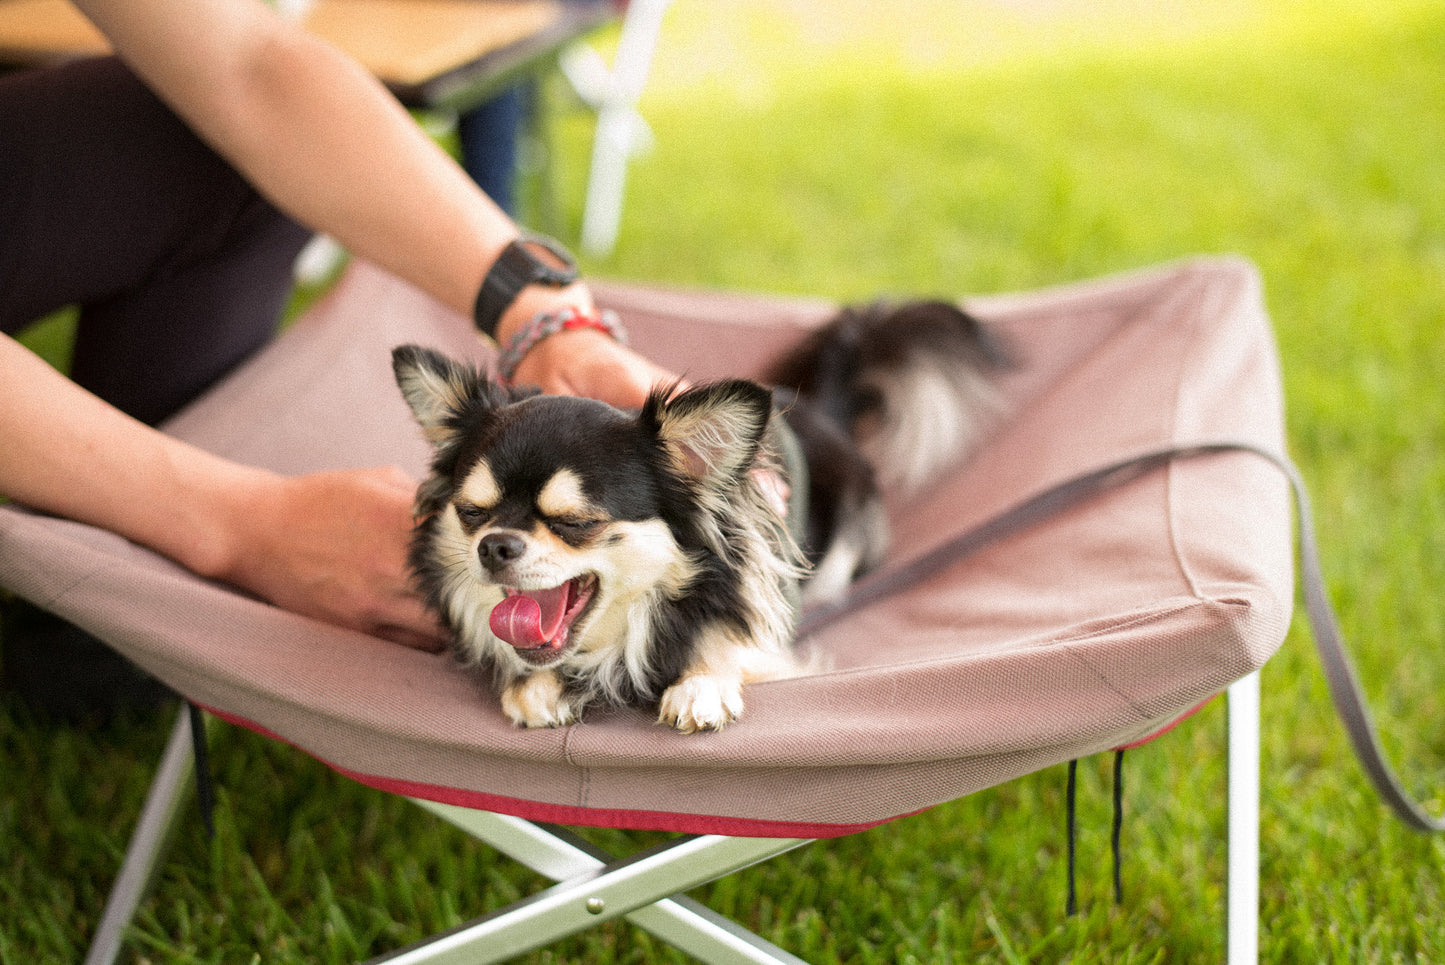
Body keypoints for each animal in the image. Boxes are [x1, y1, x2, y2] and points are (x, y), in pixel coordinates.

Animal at [390, 301, 1011, 730]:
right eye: (472, 512)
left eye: (577, 522)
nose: (493, 545)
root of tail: (816, 407)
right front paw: (536, 685)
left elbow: (729, 644)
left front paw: (702, 683)